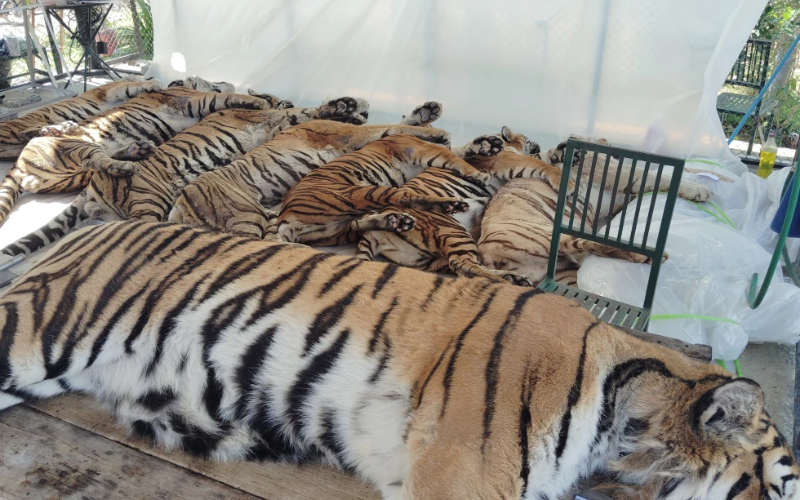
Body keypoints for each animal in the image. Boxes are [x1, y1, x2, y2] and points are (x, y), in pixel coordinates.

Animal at [0, 76, 163, 160]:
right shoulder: (111, 91)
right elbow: (133, 84)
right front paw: (153, 84)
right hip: (25, 125)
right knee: (26, 131)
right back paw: (59, 128)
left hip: (14, 149)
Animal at [168, 101, 450, 239]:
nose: (361, 113)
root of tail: (179, 206)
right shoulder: (352, 133)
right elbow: (392, 126)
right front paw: (439, 133)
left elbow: (395, 125)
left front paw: (428, 113)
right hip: (245, 216)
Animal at [275, 133, 494, 246]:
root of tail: (283, 217)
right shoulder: (423, 149)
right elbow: (453, 156)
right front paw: (479, 173)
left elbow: (457, 151)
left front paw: (485, 145)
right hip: (360, 193)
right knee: (405, 197)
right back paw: (452, 204)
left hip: (333, 232)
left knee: (357, 224)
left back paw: (397, 221)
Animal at [477, 136, 714, 286]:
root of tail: (484, 254)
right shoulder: (618, 175)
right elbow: (658, 175)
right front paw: (701, 190)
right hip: (547, 233)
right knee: (590, 243)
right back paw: (646, 256)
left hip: (563, 270)